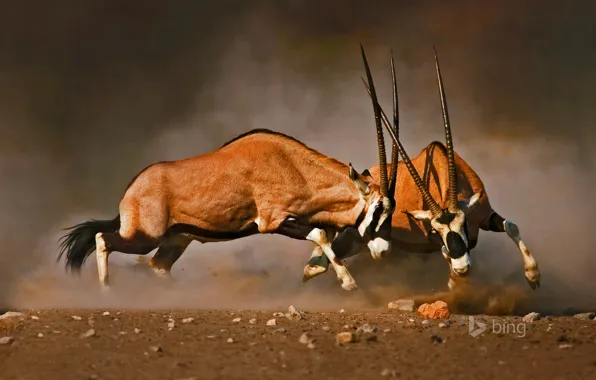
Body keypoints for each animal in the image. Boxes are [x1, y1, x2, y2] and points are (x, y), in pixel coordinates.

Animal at [58, 123, 396, 290]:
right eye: (378, 210)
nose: (384, 251)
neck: (293, 165)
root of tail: (131, 192)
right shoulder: (272, 222)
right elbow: (321, 235)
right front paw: (348, 282)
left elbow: (325, 236)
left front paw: (313, 271)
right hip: (144, 237)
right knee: (103, 239)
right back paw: (106, 292)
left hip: (176, 240)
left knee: (158, 266)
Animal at [304, 46, 544, 290]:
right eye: (436, 231)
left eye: (464, 224)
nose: (462, 268)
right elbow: (445, 252)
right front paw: (455, 285)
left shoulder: (484, 215)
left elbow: (511, 226)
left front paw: (533, 275)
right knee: (319, 261)